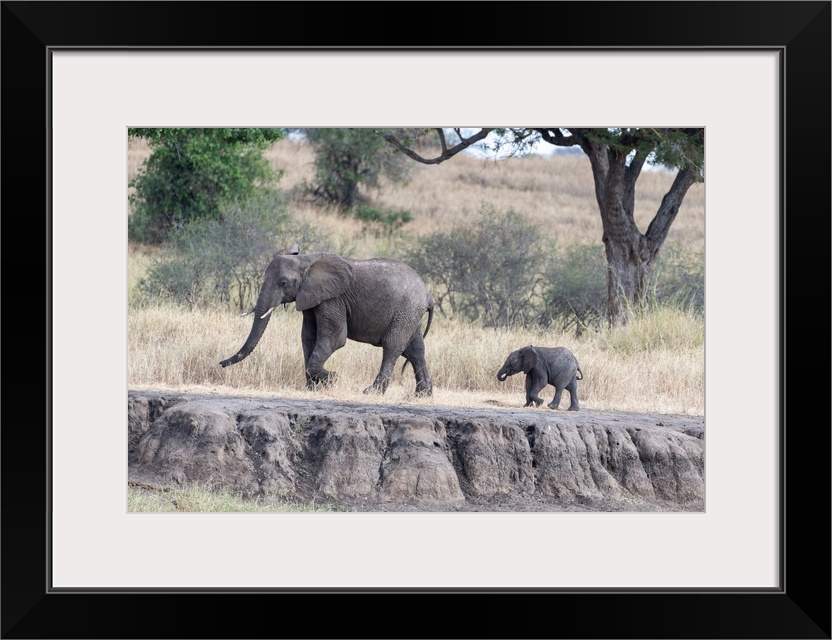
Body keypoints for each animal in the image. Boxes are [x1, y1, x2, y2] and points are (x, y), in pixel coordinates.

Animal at [218, 249, 436, 396]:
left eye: (284, 283)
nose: (220, 363)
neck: (306, 260)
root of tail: (428, 295)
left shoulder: (333, 299)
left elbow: (333, 338)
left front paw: (332, 378)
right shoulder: (311, 298)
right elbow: (308, 338)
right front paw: (313, 388)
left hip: (406, 310)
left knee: (392, 346)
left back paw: (372, 392)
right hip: (410, 314)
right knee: (415, 349)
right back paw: (423, 394)